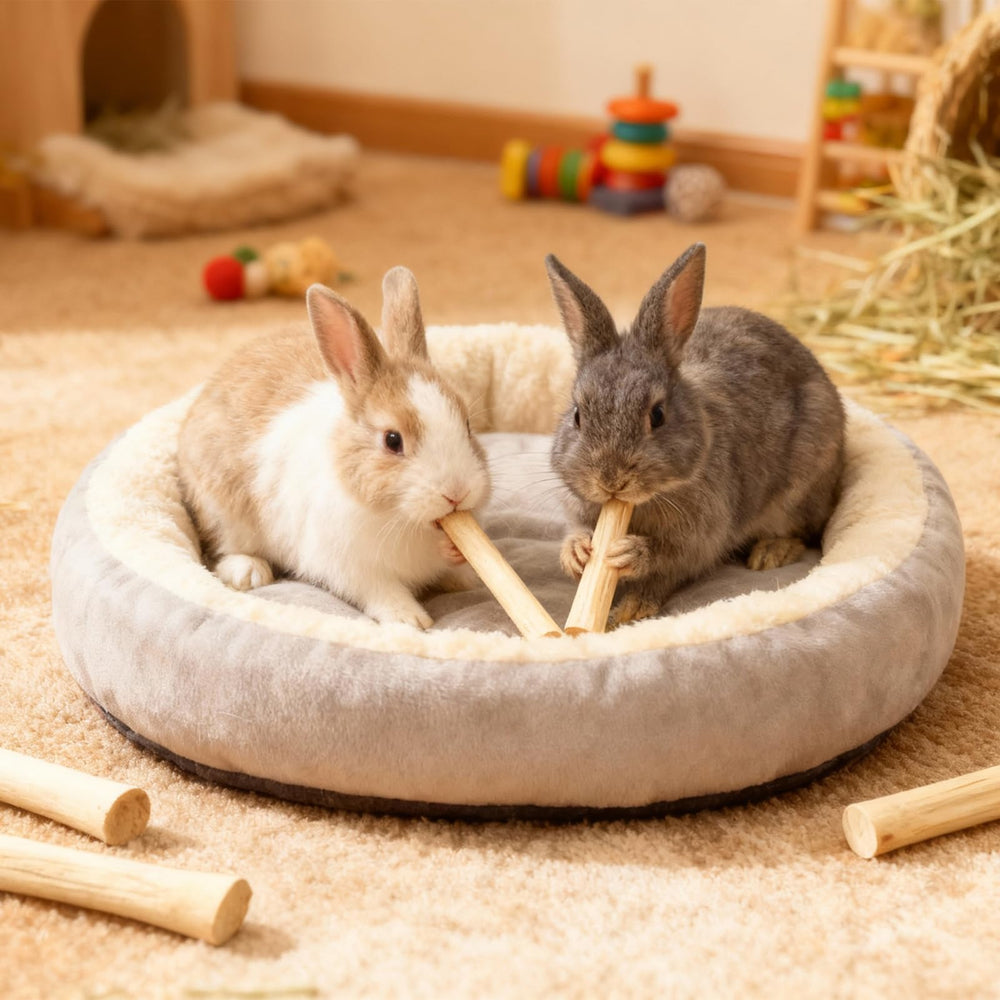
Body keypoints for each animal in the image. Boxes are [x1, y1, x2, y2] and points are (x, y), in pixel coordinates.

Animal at [177, 266, 490, 629]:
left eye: (467, 425)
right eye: (392, 440)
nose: (457, 493)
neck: (403, 519)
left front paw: (462, 571)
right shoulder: (350, 567)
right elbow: (381, 592)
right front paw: (410, 619)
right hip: (221, 512)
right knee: (223, 549)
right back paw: (249, 572)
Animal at [546, 242, 845, 628]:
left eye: (657, 415)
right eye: (578, 415)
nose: (611, 481)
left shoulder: (697, 538)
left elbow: (667, 561)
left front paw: (629, 577)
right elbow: (576, 532)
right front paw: (578, 552)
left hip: (803, 488)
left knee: (803, 532)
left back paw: (770, 554)